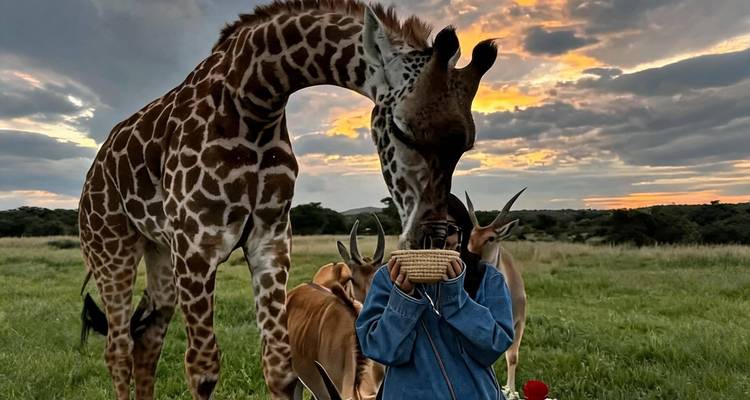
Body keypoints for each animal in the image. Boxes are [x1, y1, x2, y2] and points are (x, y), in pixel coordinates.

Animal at [78, 1, 497, 399]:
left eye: (466, 144)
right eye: (401, 129)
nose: (432, 240)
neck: (254, 102)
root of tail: (93, 171)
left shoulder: (270, 239)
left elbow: (280, 366)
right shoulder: (197, 245)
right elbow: (203, 370)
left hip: (161, 255)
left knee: (146, 342)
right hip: (113, 251)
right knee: (117, 349)